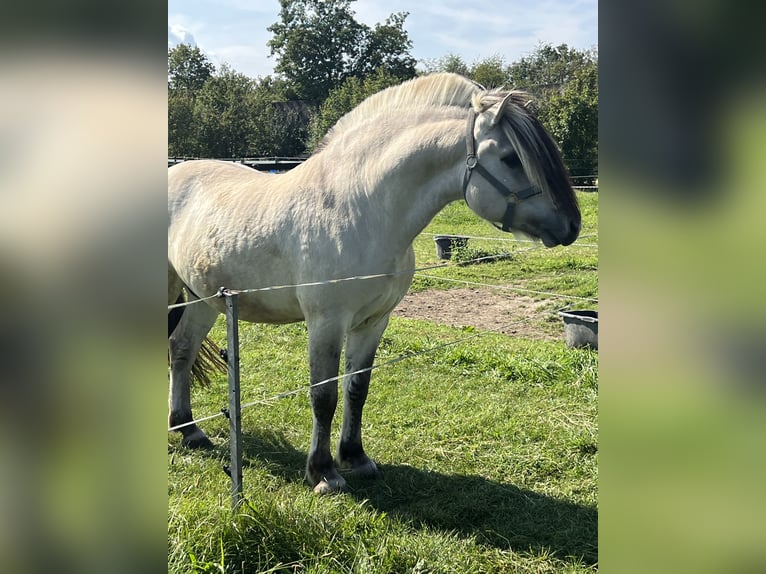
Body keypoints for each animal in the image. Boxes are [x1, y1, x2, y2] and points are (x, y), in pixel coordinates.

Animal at [168, 73, 581, 494]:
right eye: (511, 158)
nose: (571, 226)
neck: (360, 206)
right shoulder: (326, 322)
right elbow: (324, 395)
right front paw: (323, 471)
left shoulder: (374, 322)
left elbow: (357, 388)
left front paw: (355, 457)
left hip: (204, 299)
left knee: (182, 349)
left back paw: (189, 430)